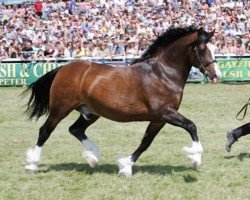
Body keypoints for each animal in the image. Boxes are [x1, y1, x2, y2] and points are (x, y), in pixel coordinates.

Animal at [23, 26, 221, 177]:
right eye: (202, 49)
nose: (216, 75)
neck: (162, 73)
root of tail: (64, 68)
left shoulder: (159, 119)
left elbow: (145, 142)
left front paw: (125, 166)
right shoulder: (165, 113)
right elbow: (191, 126)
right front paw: (194, 157)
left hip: (91, 112)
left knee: (75, 129)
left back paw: (93, 157)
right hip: (60, 108)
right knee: (45, 131)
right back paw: (32, 164)